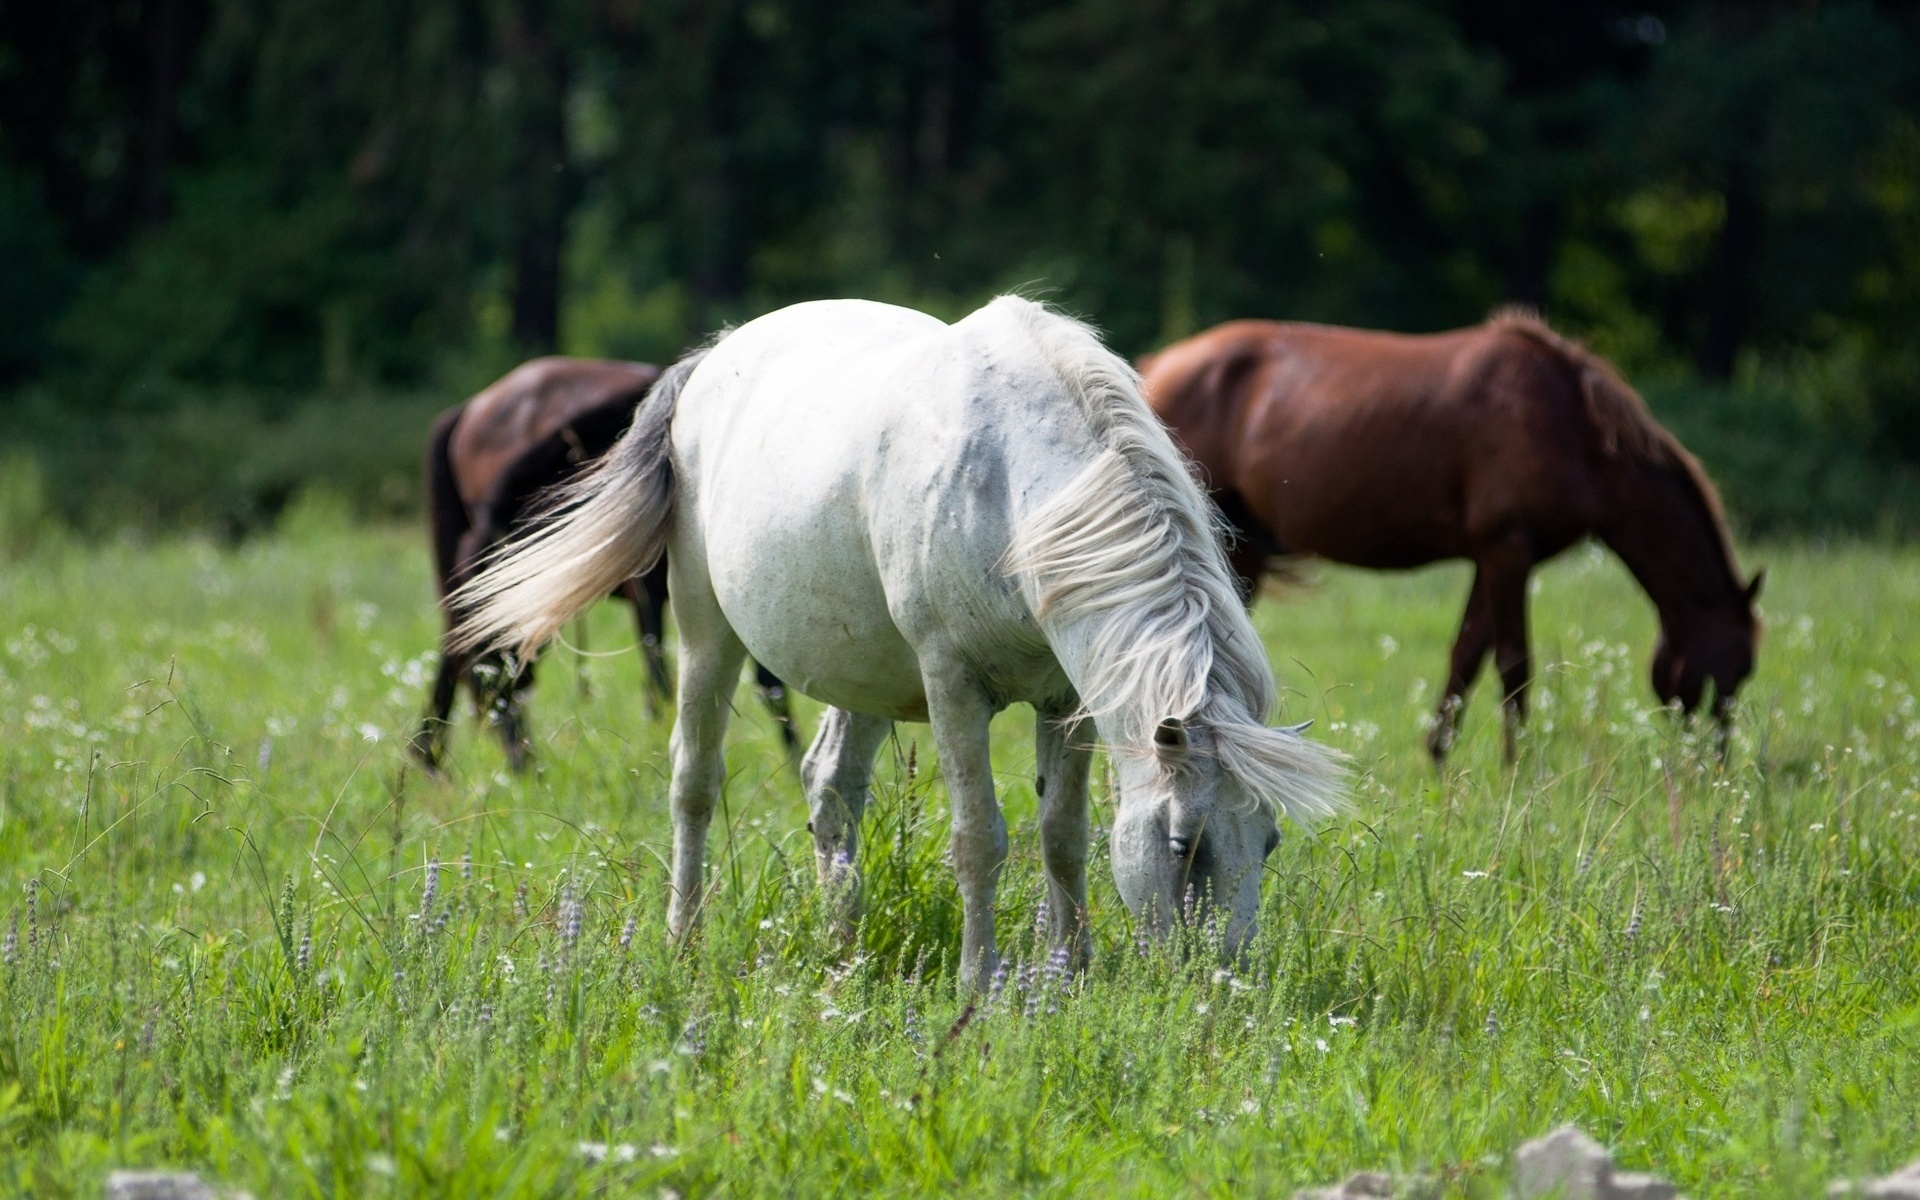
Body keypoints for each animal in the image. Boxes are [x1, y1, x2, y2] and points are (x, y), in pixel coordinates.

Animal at [456, 295, 1344, 990]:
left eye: (1269, 841)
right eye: (1184, 845)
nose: (1224, 986)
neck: (1011, 487)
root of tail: (715, 357)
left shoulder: (1067, 701)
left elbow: (1062, 837)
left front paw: (1070, 972)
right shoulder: (954, 685)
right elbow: (980, 838)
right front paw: (979, 982)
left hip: (865, 676)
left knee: (830, 789)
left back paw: (843, 948)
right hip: (706, 636)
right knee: (694, 784)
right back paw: (685, 940)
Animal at [1144, 309, 1758, 756]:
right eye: (1740, 663)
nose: (1715, 760)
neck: (1574, 428)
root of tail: (1156, 366)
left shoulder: (1493, 558)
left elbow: (1466, 657)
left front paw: (1441, 760)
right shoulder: (1508, 550)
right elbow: (1514, 665)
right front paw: (1518, 771)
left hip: (1243, 550)